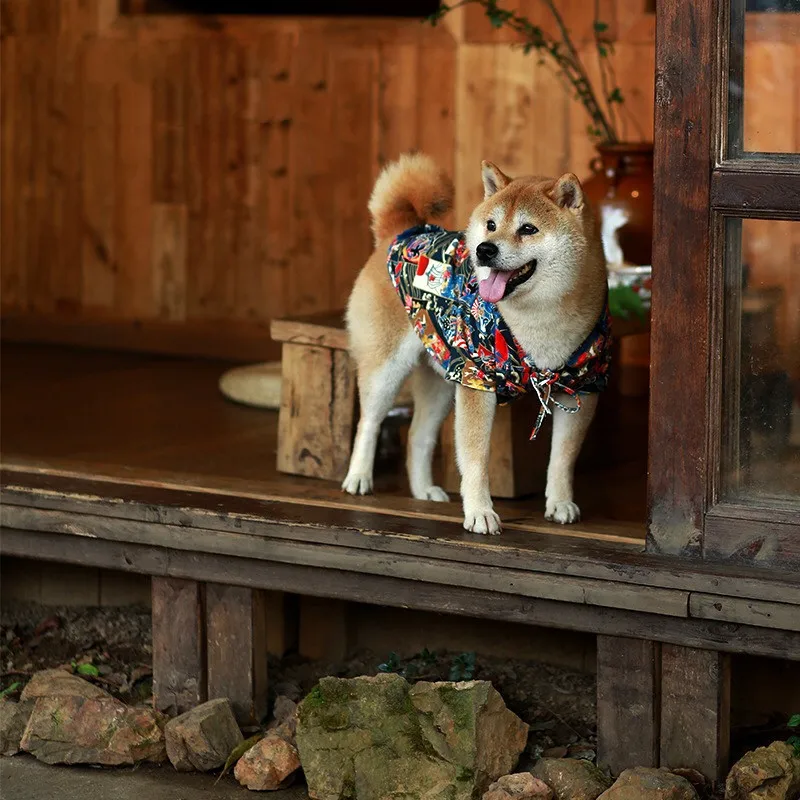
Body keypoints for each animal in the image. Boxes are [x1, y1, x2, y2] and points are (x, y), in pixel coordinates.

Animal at [340, 153, 608, 536]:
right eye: (491, 225)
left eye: (528, 229)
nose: (484, 249)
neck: (542, 318)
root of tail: (403, 231)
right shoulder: (477, 382)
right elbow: (475, 458)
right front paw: (480, 512)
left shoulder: (581, 387)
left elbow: (562, 458)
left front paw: (559, 503)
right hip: (386, 370)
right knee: (369, 422)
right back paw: (359, 478)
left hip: (441, 376)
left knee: (418, 437)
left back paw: (424, 490)